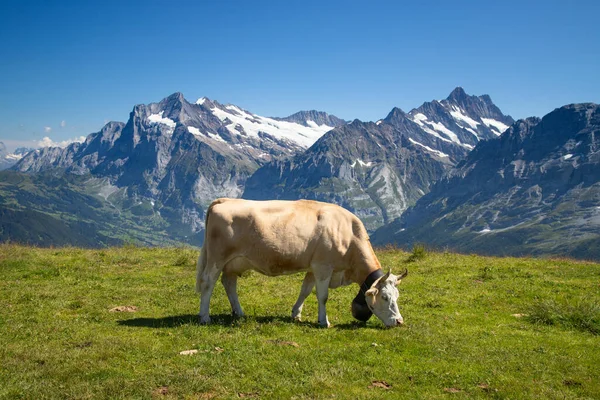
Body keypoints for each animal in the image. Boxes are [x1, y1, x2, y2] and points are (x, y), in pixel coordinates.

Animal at [196, 198, 408, 326]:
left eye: (397, 296)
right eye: (385, 297)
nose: (399, 321)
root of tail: (225, 200)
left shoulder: (313, 268)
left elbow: (305, 291)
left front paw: (296, 314)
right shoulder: (323, 267)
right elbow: (323, 296)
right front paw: (324, 321)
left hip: (233, 263)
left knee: (229, 283)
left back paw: (239, 312)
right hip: (216, 258)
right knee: (208, 282)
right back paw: (204, 317)